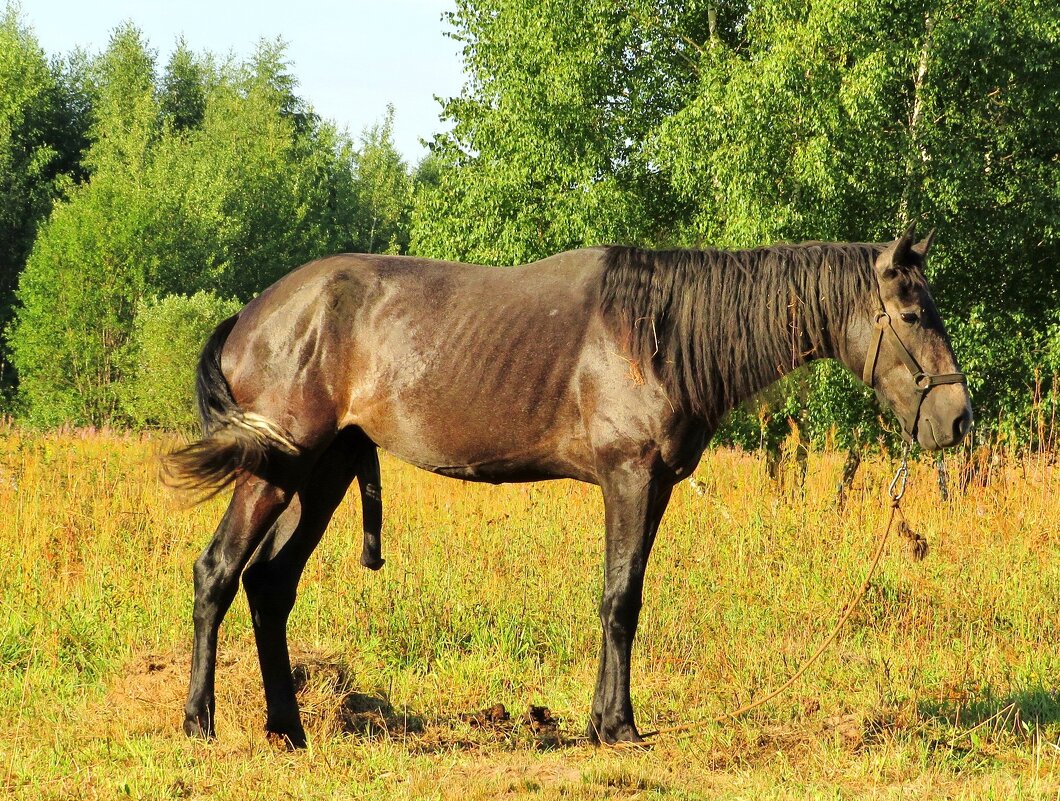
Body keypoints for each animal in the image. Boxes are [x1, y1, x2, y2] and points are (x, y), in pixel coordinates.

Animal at [165, 226, 970, 750]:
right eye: (911, 313)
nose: (959, 418)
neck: (662, 334)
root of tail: (251, 315)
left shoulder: (653, 488)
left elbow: (626, 597)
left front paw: (602, 719)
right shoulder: (628, 479)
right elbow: (620, 601)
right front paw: (617, 726)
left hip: (322, 473)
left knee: (269, 585)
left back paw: (289, 727)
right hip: (275, 470)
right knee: (218, 573)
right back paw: (199, 722)